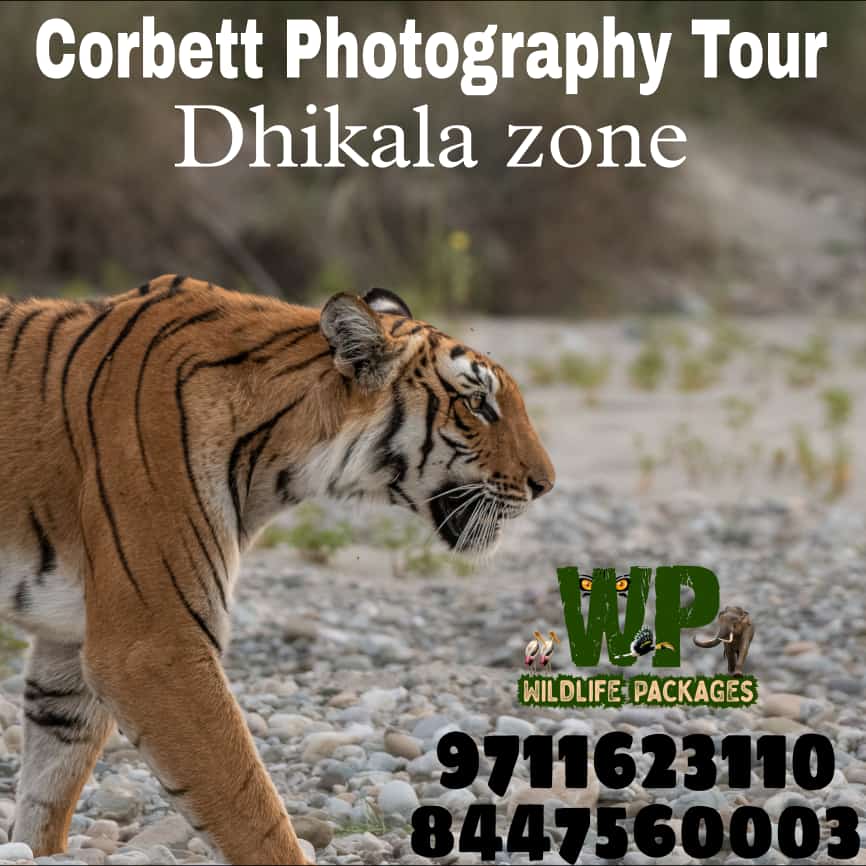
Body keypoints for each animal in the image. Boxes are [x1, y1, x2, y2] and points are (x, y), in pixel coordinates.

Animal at [0, 274, 554, 864]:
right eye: (477, 404)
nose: (547, 484)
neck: (279, 455)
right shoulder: (153, 646)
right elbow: (247, 804)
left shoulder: (70, 639)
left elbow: (49, 783)